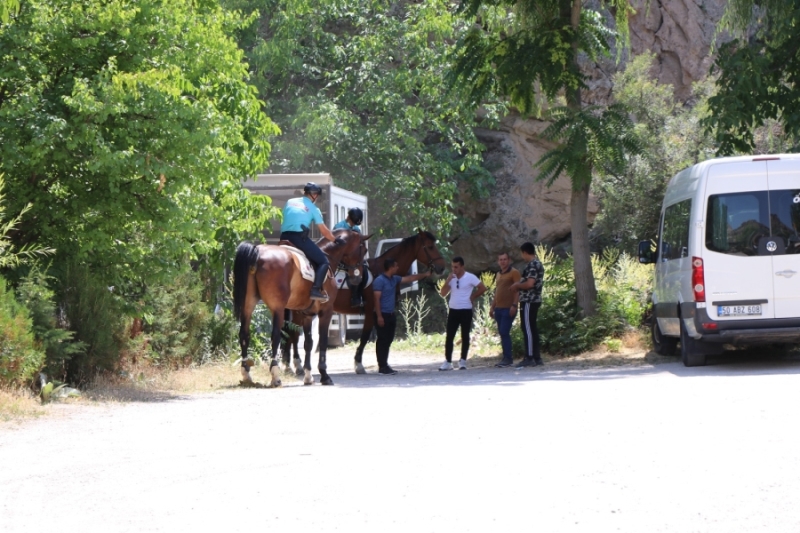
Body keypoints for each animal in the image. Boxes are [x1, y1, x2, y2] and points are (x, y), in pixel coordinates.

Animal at [231, 229, 368, 386]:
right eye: (364, 250)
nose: (357, 278)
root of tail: (257, 252)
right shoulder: (326, 311)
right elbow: (322, 341)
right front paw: (324, 375)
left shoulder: (306, 314)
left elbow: (308, 343)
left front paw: (308, 376)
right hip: (278, 308)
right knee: (276, 336)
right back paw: (275, 376)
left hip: (248, 304)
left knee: (244, 334)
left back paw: (246, 374)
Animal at [282, 229, 446, 374]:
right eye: (430, 247)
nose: (441, 268)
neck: (382, 271)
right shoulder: (372, 312)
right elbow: (365, 337)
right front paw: (359, 364)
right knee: (293, 335)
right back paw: (296, 366)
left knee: (290, 335)